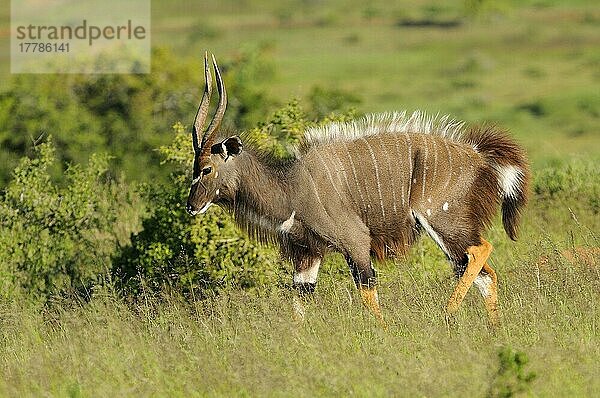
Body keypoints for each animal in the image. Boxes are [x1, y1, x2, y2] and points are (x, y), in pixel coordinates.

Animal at [188, 53, 528, 326]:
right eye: (193, 167)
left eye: (207, 169)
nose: (192, 205)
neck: (292, 187)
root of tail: (478, 155)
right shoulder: (308, 254)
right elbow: (300, 305)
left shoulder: (355, 242)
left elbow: (368, 292)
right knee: (484, 274)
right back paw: (494, 332)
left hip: (442, 221)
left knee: (480, 251)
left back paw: (445, 316)